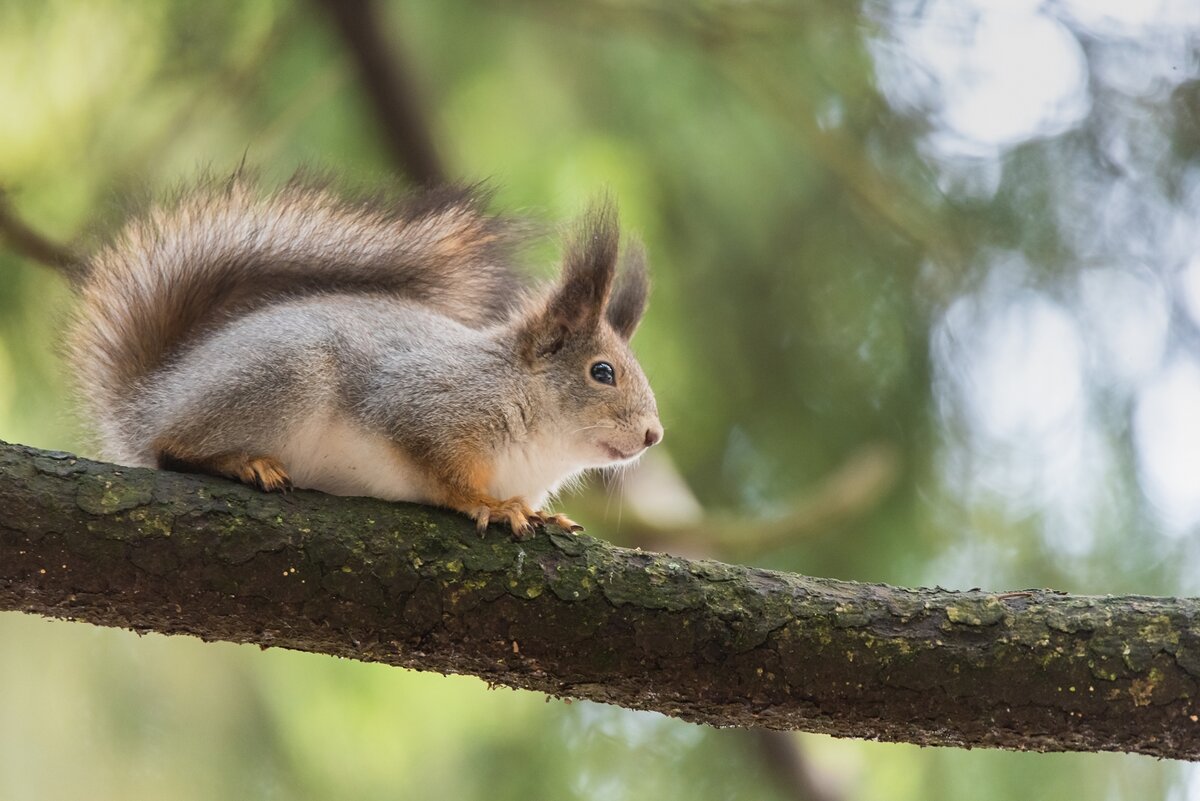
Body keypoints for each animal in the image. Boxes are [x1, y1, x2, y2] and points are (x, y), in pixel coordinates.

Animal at [65, 177, 662, 534]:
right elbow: (442, 472)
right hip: (287, 374)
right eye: (602, 372)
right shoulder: (426, 406)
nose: (654, 435)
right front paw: (491, 505)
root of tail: (155, 396)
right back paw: (243, 462)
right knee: (171, 448)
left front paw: (543, 514)